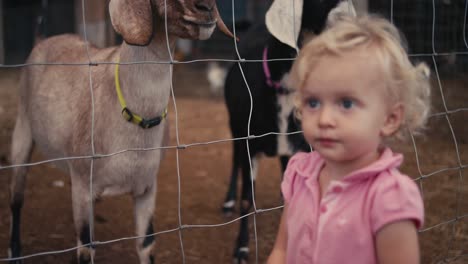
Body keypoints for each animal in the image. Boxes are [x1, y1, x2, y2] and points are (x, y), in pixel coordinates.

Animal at [8, 0, 233, 264]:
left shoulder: (147, 188)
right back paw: (14, 251)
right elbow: (86, 248)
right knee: (16, 199)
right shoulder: (83, 187)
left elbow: (146, 244)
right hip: (22, 131)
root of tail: (44, 40)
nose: (206, 8)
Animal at [218, 0, 356, 262]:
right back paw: (228, 201)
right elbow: (246, 200)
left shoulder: (303, 146)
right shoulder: (249, 145)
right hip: (234, 125)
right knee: (234, 158)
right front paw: (241, 249)